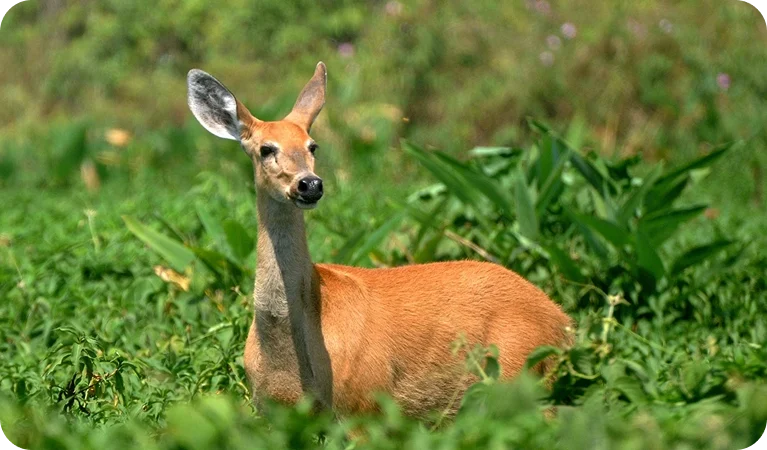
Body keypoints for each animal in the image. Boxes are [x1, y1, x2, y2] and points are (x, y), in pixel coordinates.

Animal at [186, 62, 573, 421]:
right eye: (266, 149)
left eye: (313, 145)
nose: (310, 184)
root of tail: (562, 321)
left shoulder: (365, 402)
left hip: (520, 370)